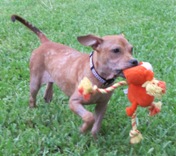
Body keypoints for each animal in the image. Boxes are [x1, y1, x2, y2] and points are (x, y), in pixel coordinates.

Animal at [11, 14, 139, 138]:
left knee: (50, 83)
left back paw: (48, 96)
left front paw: (94, 140)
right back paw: (33, 109)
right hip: (35, 81)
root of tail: (46, 42)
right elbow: (89, 117)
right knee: (32, 98)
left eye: (131, 49)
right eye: (116, 50)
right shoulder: (74, 102)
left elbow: (96, 126)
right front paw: (83, 130)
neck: (98, 77)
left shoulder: (102, 105)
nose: (135, 61)